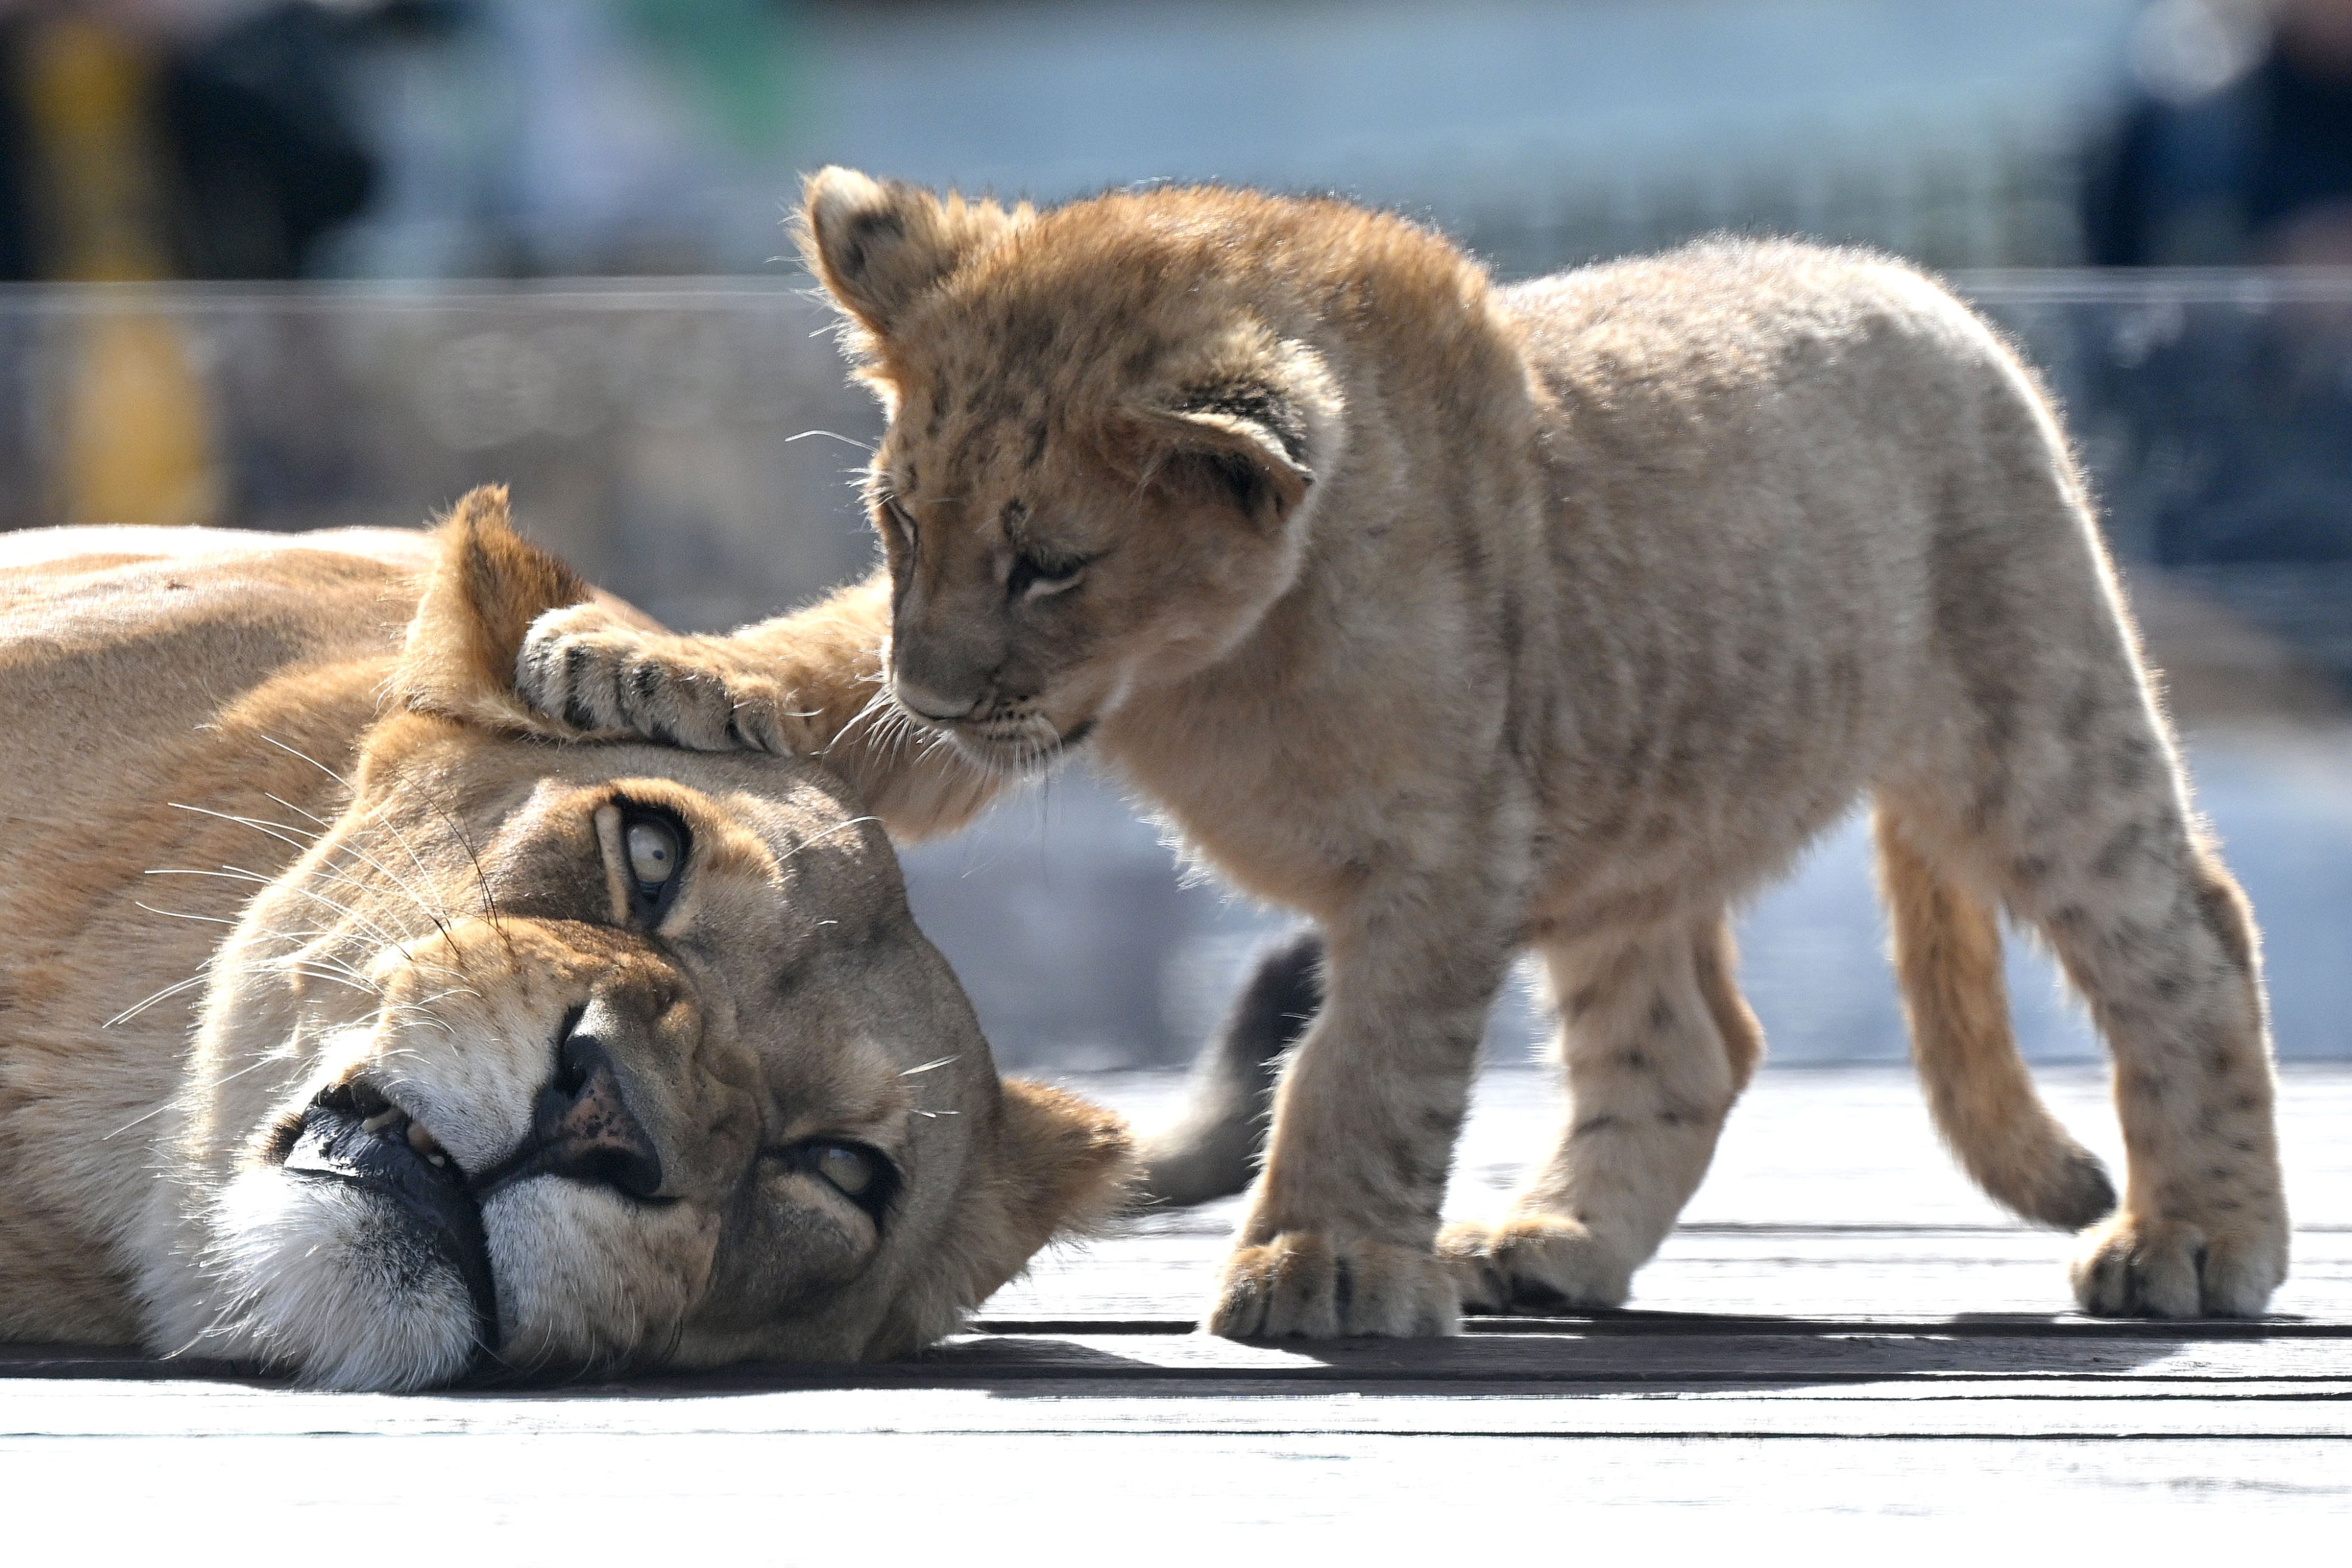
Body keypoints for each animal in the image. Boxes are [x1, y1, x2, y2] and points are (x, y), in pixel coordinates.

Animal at [517, 170, 2289, 1333]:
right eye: (898, 524)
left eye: (1050, 563)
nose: (936, 689)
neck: (1214, 661)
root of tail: (1927, 293)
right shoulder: (997, 720)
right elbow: (815, 660)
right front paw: (627, 657)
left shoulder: (1444, 854)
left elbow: (1362, 1068)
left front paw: (1322, 1264)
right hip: (1621, 819)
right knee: (1688, 1046)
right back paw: (1554, 1243)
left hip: (2030, 723)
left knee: (2191, 941)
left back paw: (2197, 1245)